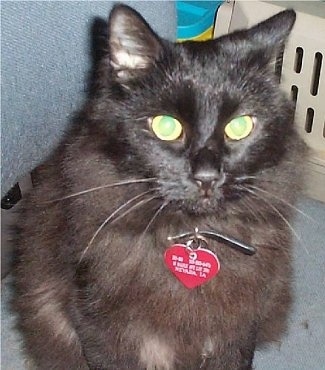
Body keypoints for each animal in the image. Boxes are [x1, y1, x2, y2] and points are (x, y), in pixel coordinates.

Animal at [13, 4, 306, 368]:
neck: (195, 232)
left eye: (240, 127)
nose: (207, 176)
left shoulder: (242, 323)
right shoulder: (94, 321)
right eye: (166, 126)